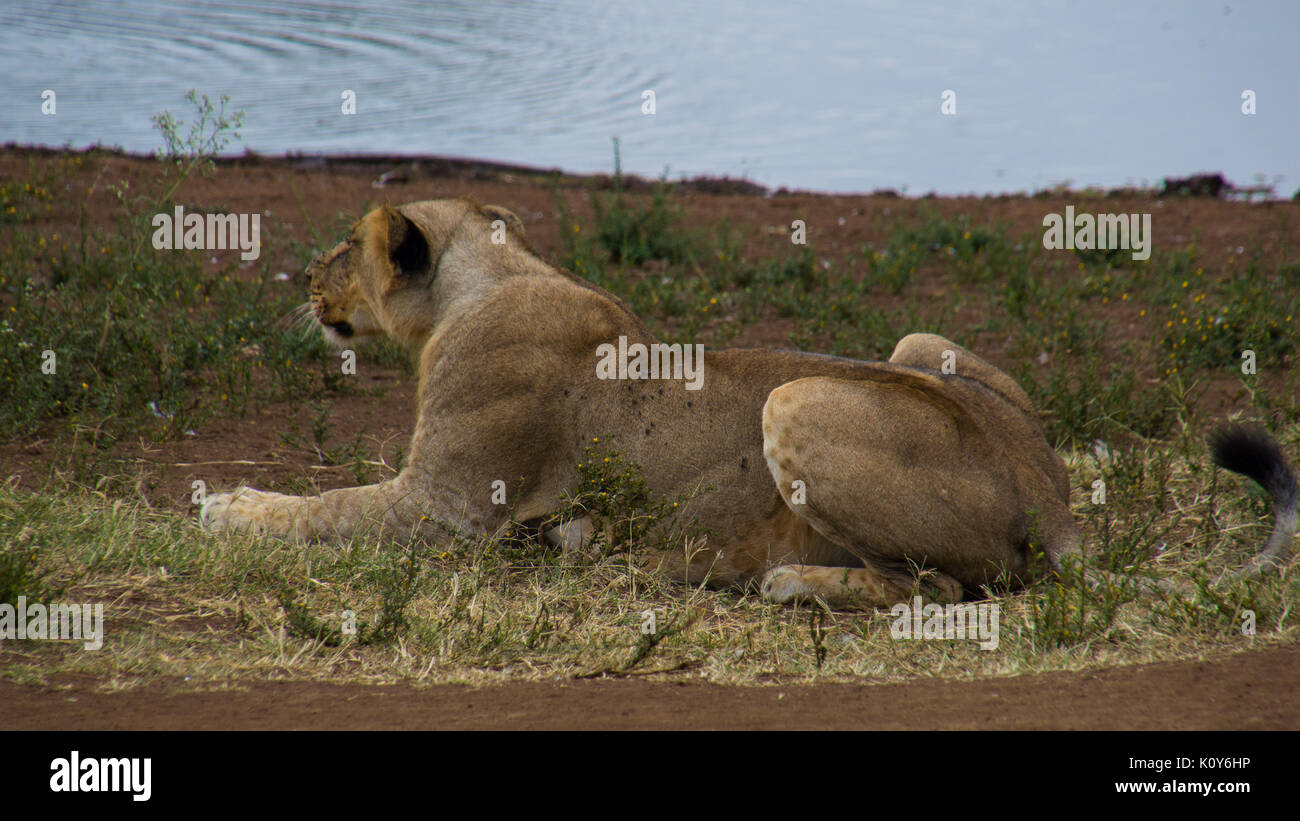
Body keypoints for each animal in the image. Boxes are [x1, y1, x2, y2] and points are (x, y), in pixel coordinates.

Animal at [200, 198, 1297, 608]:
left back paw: (784, 581)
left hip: (798, 396)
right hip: (918, 344)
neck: (491, 280)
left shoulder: (445, 509)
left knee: (954, 587)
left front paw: (226, 505)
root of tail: (1061, 505)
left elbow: (323, 509)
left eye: (345, 245)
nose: (304, 277)